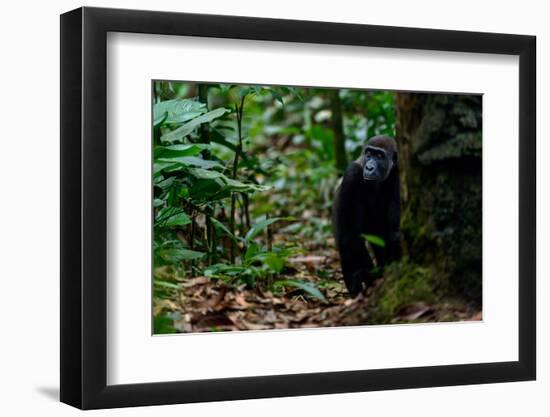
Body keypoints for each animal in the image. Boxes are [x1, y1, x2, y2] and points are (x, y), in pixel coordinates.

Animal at [334, 134, 404, 296]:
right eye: (369, 154)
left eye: (379, 156)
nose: (369, 167)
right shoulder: (352, 174)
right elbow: (351, 238)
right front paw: (370, 277)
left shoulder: (397, 172)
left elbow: (394, 231)